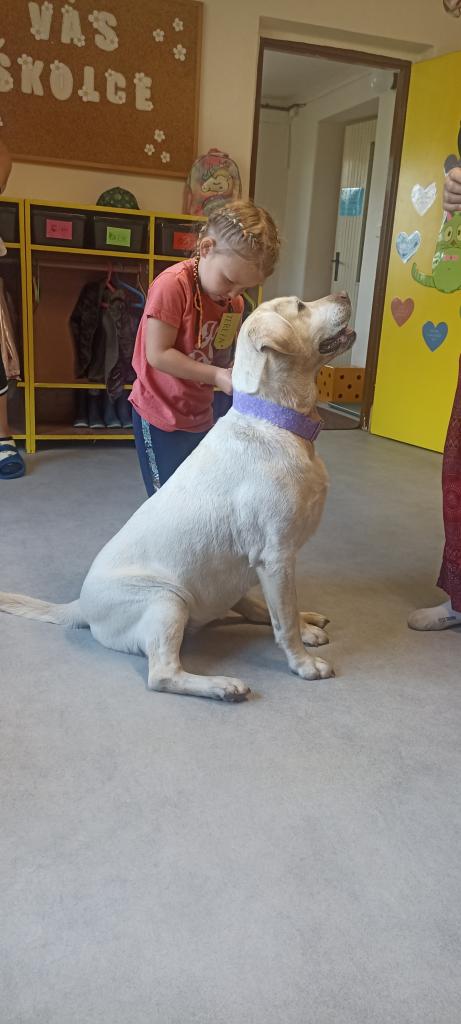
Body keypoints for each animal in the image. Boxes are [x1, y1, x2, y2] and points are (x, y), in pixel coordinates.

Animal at [0, 293, 355, 702]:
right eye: (299, 306)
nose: (344, 295)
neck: (275, 420)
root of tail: (80, 608)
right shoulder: (277, 557)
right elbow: (285, 625)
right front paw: (303, 665)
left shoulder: (274, 565)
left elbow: (284, 613)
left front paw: (303, 627)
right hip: (167, 601)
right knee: (162, 674)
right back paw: (223, 685)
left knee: (250, 609)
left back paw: (305, 620)